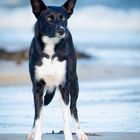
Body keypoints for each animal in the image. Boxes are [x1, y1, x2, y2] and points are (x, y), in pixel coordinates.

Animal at [27, 0, 88, 140]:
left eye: (63, 18)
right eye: (49, 19)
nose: (62, 30)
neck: (50, 53)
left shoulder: (64, 86)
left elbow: (66, 118)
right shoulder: (37, 87)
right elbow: (38, 118)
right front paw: (36, 134)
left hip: (73, 82)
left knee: (73, 108)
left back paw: (80, 132)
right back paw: (32, 131)